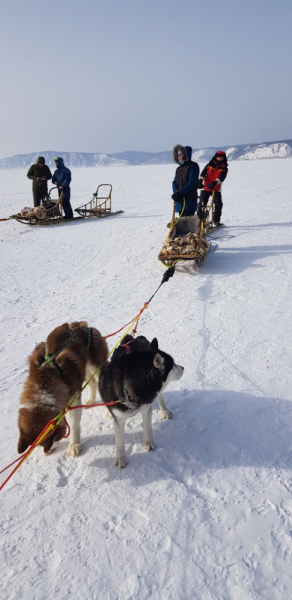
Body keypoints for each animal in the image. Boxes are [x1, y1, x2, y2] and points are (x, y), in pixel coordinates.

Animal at [17, 322, 108, 458]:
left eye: (53, 438)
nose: (47, 451)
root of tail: (84, 325)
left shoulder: (74, 396)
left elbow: (74, 425)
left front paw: (74, 445)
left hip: (96, 366)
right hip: (84, 369)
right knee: (92, 383)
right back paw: (90, 400)